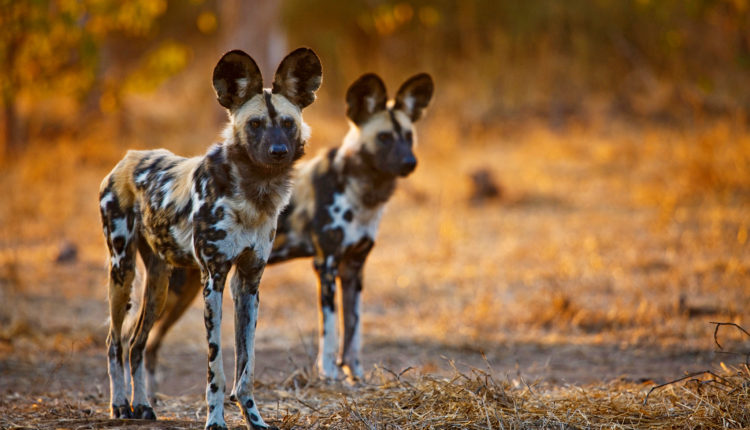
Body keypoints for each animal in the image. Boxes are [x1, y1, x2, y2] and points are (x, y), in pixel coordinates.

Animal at [98, 47, 322, 430]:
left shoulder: (249, 283)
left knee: (136, 343)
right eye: (255, 124)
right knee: (115, 339)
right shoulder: (214, 280)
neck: (255, 193)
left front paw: (254, 418)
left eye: (288, 123)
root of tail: (128, 158)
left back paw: (142, 405)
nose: (279, 151)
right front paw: (216, 420)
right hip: (122, 271)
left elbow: (246, 367)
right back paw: (120, 405)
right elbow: (216, 367)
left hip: (159, 285)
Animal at [135, 71, 434, 390]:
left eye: (409, 137)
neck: (360, 191)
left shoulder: (354, 268)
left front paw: (357, 377)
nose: (410, 163)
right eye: (384, 138)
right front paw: (330, 375)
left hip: (186, 289)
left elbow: (353, 332)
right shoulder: (326, 265)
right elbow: (330, 332)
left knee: (149, 344)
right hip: (177, 289)